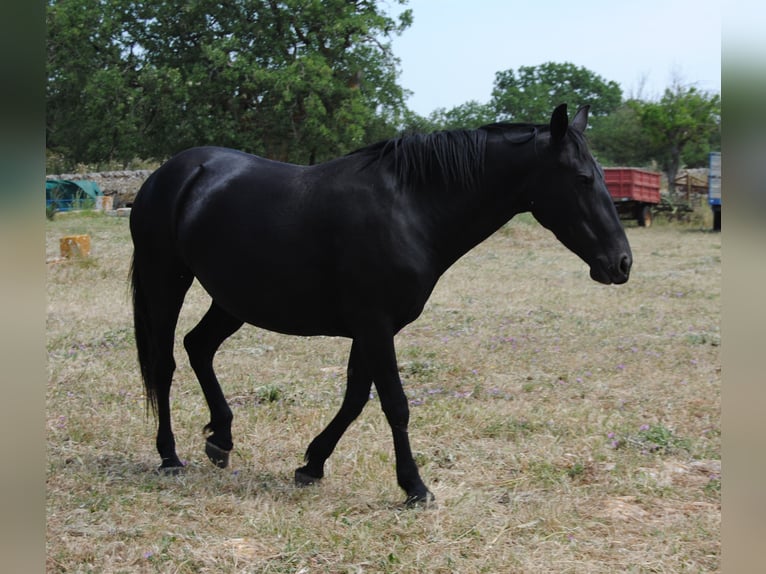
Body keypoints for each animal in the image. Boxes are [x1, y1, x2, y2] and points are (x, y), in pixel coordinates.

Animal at [129, 104, 632, 505]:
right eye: (583, 178)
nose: (621, 263)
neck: (410, 208)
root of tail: (172, 172)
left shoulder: (370, 328)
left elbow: (355, 398)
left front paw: (312, 464)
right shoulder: (375, 325)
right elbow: (394, 403)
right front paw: (414, 487)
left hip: (234, 299)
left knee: (198, 347)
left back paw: (221, 438)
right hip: (165, 280)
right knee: (164, 363)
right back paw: (169, 455)